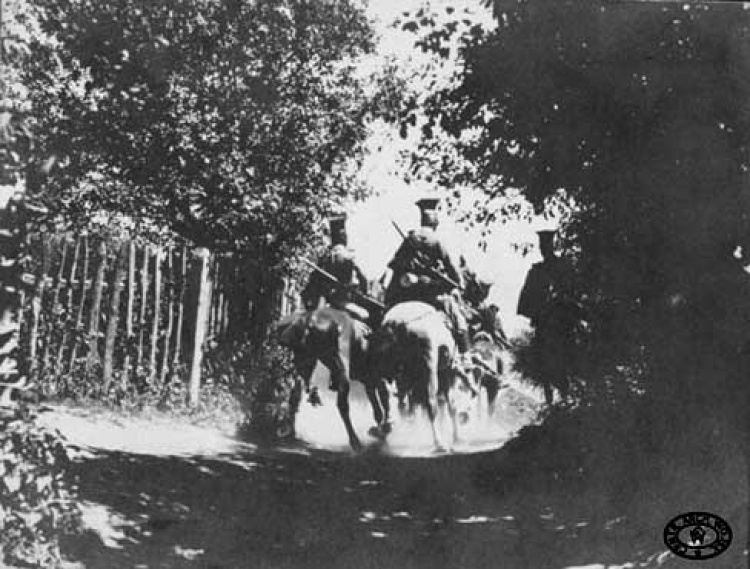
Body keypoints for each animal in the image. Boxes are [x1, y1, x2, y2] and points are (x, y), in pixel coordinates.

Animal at [278, 308, 394, 450]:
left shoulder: (369, 380)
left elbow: (378, 406)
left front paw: (380, 430)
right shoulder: (373, 378)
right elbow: (383, 398)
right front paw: (384, 429)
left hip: (306, 364)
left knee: (295, 393)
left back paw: (289, 430)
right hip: (340, 368)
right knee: (342, 405)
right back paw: (355, 442)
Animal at [372, 300, 482, 450]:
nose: (465, 416)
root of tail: (396, 323)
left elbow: (409, 403)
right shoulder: (446, 373)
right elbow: (450, 406)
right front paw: (456, 437)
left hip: (389, 368)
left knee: (390, 395)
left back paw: (387, 427)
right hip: (429, 366)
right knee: (430, 403)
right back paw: (438, 443)